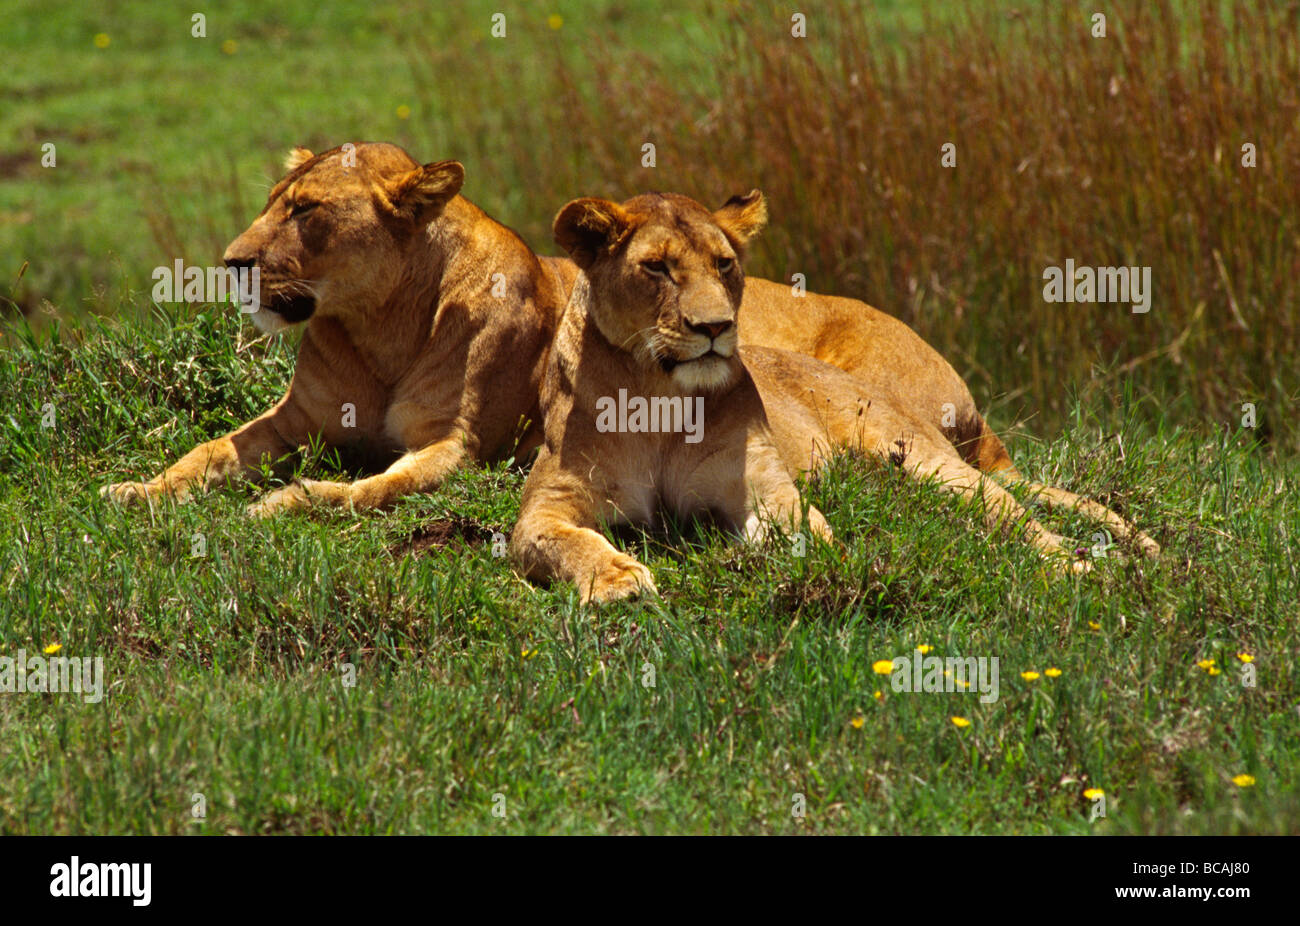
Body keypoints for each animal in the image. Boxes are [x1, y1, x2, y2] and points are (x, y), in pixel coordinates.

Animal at [510, 191, 1159, 603]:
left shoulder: (761, 486)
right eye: (657, 269)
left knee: (1014, 512)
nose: (716, 326)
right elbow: (564, 542)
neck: (661, 399)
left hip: (931, 461)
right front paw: (616, 581)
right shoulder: (549, 502)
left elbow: (802, 528)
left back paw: (1081, 563)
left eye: (724, 265)